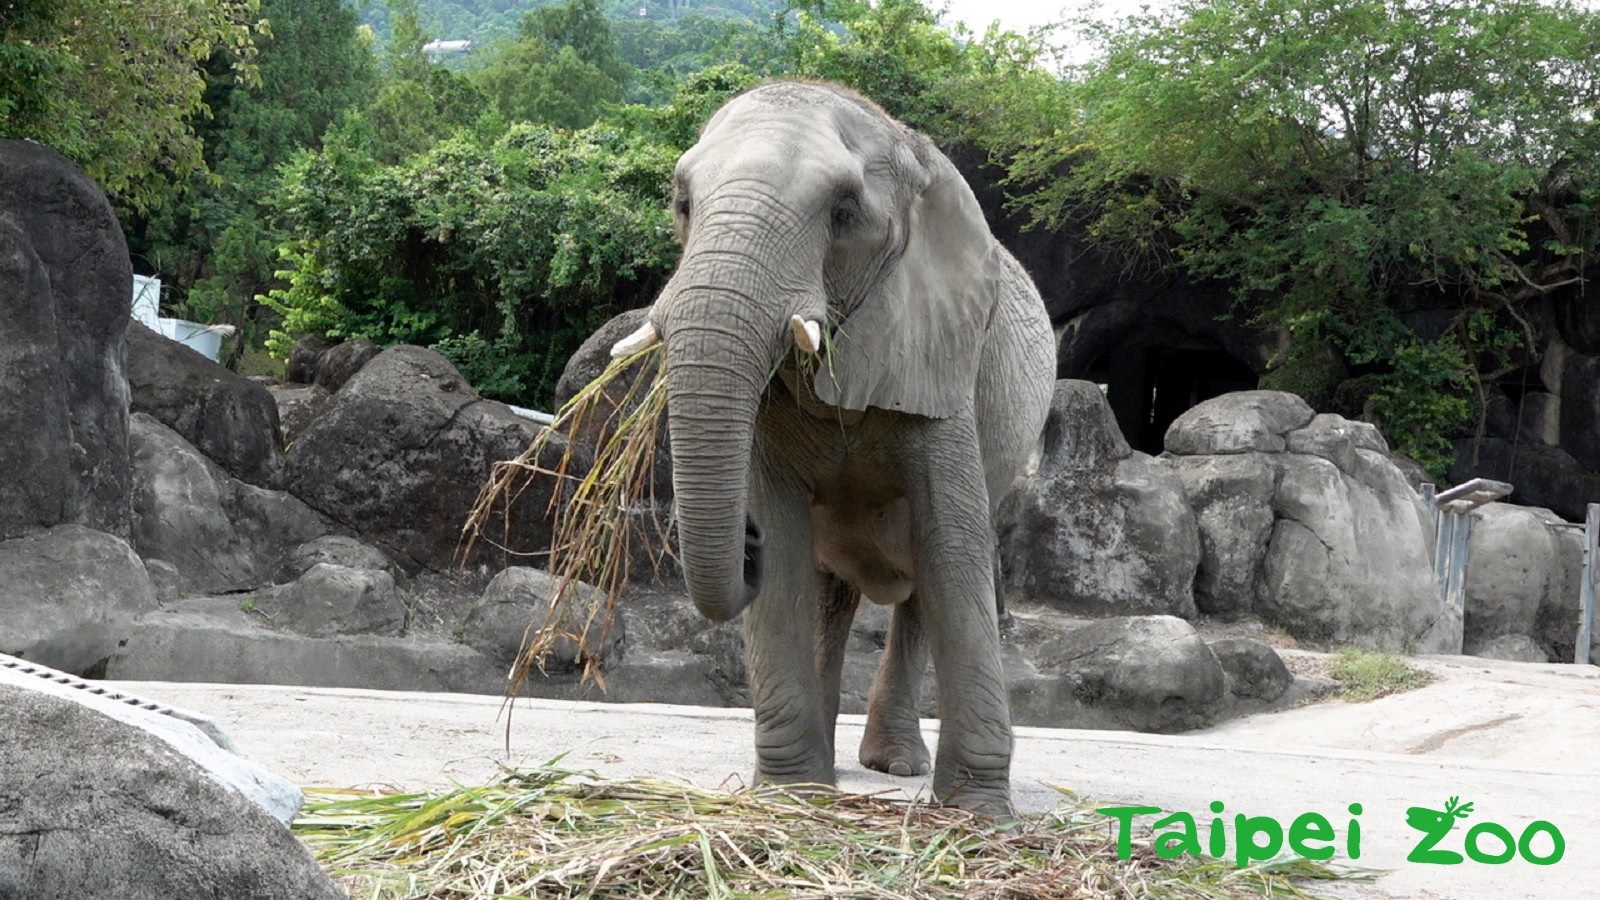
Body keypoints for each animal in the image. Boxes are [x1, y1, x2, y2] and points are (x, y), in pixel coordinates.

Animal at [604, 80, 1056, 816]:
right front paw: (793, 795)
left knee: (922, 582)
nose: (745, 541)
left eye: (844, 215)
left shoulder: (940, 353)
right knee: (828, 590)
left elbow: (952, 545)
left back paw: (895, 765)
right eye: (682, 205)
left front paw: (978, 814)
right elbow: (787, 546)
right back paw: (832, 773)